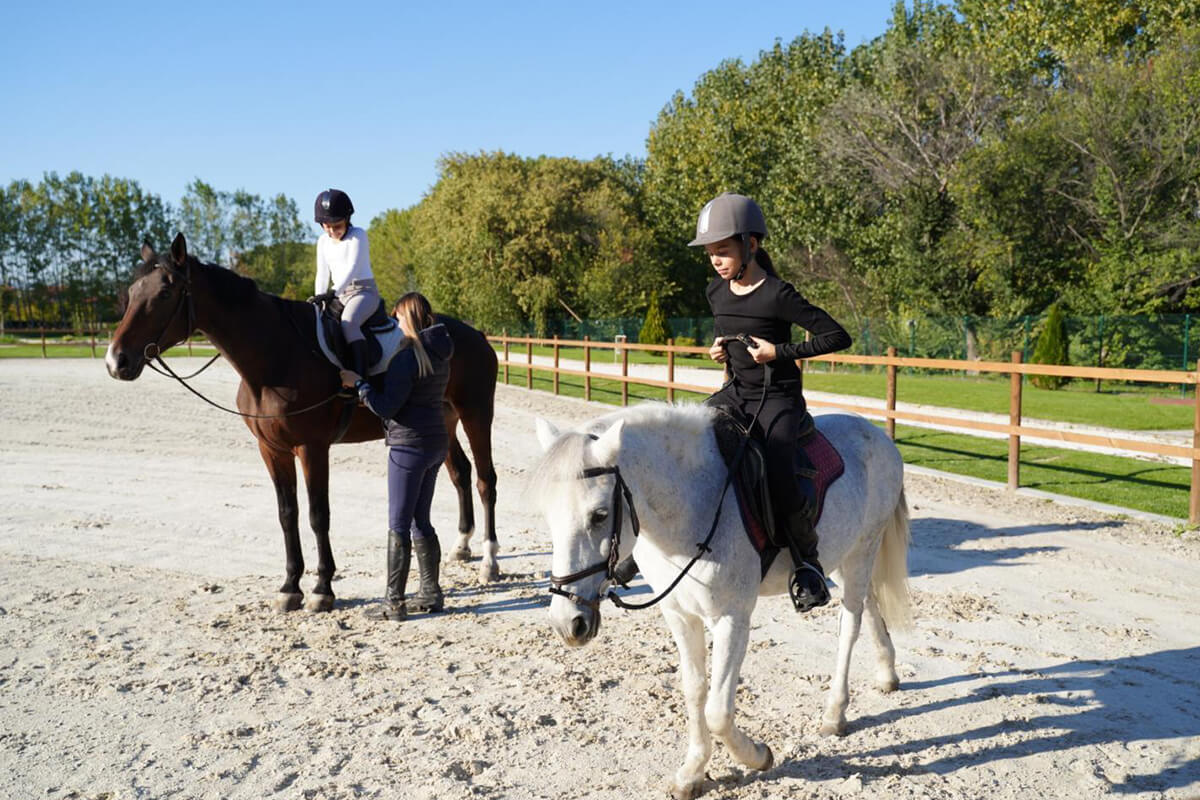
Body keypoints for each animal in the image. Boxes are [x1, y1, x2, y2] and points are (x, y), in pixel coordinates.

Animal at [103, 231, 496, 614]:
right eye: (131, 294)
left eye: (165, 292)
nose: (115, 361)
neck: (276, 356)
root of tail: (474, 334)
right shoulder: (272, 450)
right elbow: (287, 514)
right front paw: (290, 587)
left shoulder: (312, 448)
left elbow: (317, 514)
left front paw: (322, 590)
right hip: (442, 421)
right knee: (460, 473)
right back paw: (462, 546)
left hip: (476, 414)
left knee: (484, 480)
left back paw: (490, 562)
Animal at [535, 407, 907, 800]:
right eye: (549, 515)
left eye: (600, 515)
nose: (568, 622)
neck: (691, 503)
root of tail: (874, 432)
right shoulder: (679, 614)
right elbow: (694, 689)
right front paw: (692, 773)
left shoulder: (731, 619)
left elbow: (718, 711)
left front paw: (757, 755)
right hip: (842, 557)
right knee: (868, 603)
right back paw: (887, 672)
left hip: (862, 550)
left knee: (850, 624)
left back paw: (835, 713)